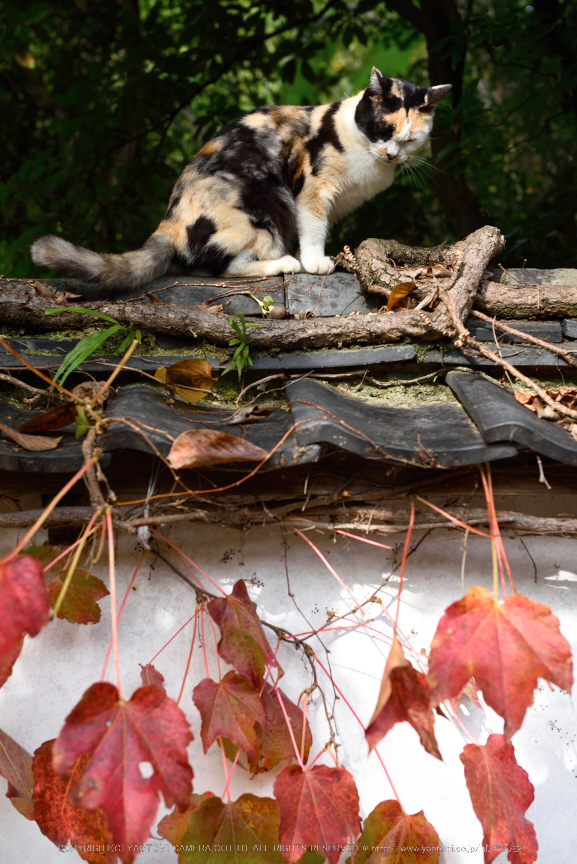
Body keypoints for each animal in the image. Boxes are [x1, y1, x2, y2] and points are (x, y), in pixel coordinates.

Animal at [31, 69, 450, 288]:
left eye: (411, 139)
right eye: (383, 128)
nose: (392, 154)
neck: (364, 150)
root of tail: (167, 223)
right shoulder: (312, 191)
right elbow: (313, 227)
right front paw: (314, 261)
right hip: (266, 207)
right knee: (222, 267)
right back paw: (282, 264)